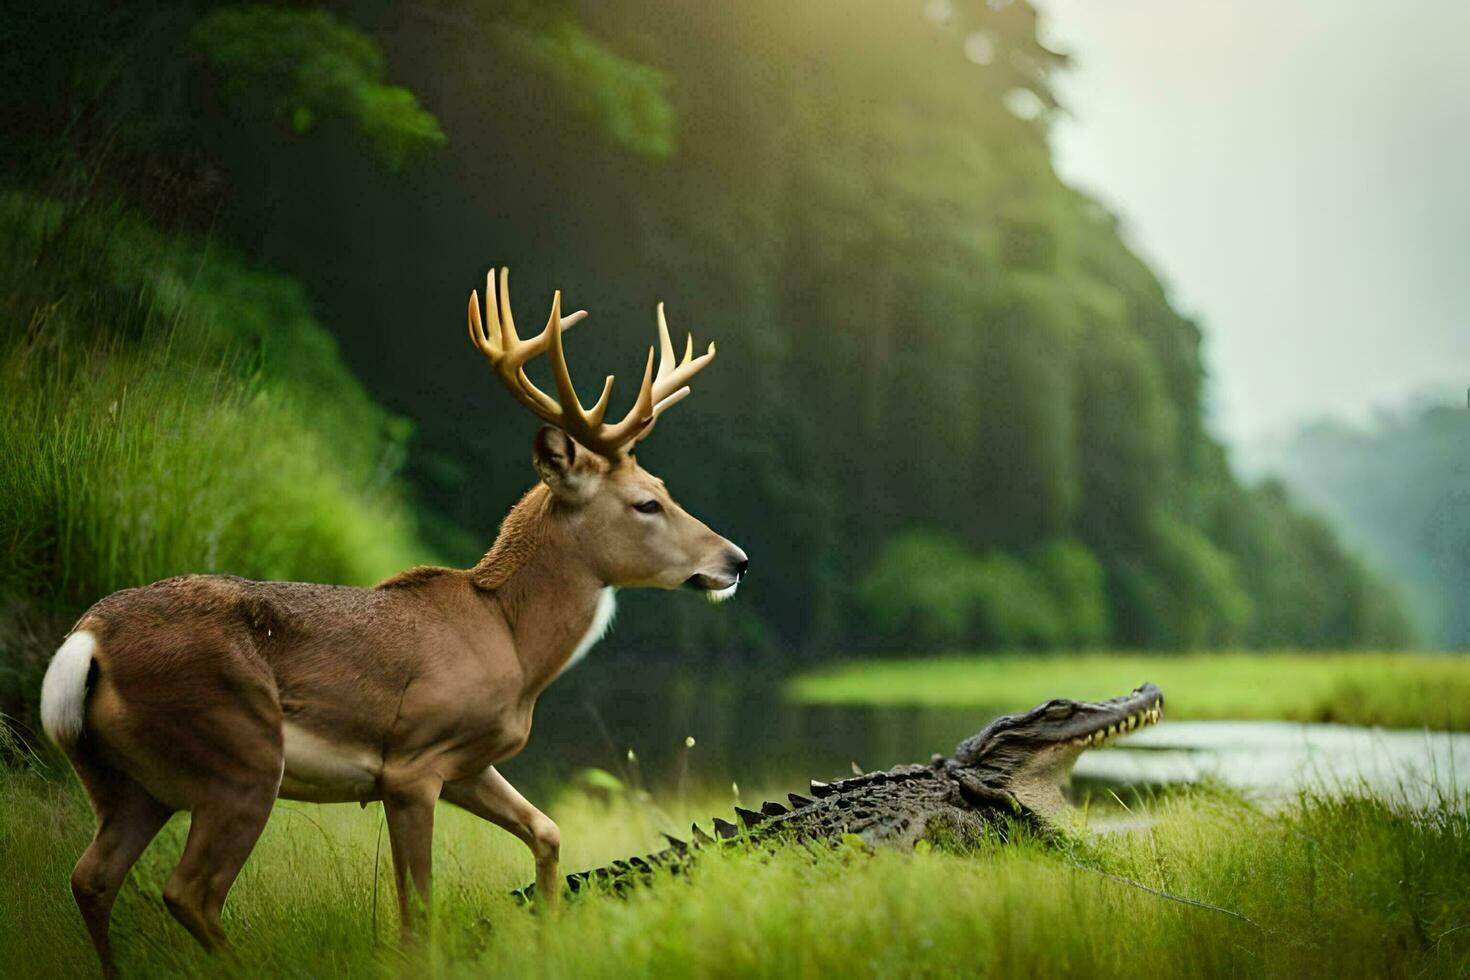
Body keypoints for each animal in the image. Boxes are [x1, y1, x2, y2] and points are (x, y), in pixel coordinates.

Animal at [37, 268, 746, 975]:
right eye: (646, 503)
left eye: (664, 488)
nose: (735, 560)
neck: (511, 642)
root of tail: (87, 642)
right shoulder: (412, 764)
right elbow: (420, 914)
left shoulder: (467, 763)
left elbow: (547, 831)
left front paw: (548, 941)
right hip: (237, 754)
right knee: (190, 892)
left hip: (129, 782)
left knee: (91, 877)